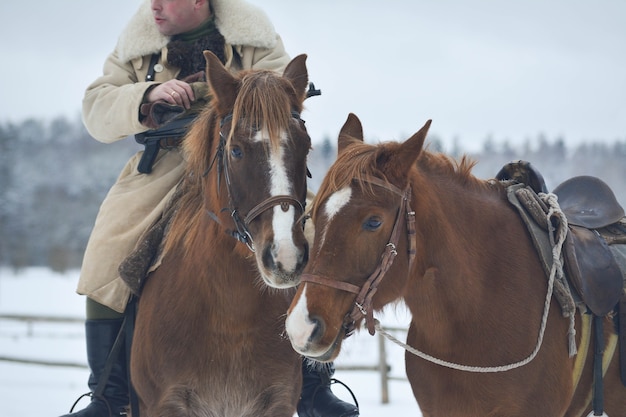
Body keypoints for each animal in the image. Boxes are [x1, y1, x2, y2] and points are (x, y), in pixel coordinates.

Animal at [130, 52, 310, 416]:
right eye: (236, 150)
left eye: (306, 147)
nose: (286, 258)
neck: (230, 314)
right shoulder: (166, 404)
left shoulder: (277, 403)